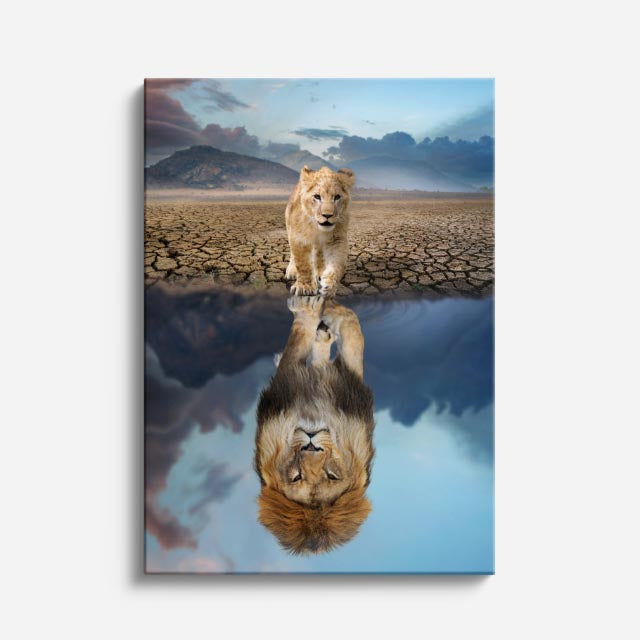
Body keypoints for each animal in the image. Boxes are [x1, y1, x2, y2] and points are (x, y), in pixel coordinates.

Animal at [254, 296, 374, 554]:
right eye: (296, 477)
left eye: (331, 475)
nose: (311, 444)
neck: (314, 411)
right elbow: (350, 331)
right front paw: (317, 311)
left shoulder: (347, 387)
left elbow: (350, 332)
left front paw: (318, 311)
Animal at [284, 165, 355, 297]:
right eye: (317, 196)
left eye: (337, 197)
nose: (327, 215)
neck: (317, 228)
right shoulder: (298, 237)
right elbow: (302, 263)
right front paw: (304, 287)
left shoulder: (337, 239)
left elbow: (337, 264)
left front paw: (329, 285)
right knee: (293, 254)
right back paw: (292, 271)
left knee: (319, 254)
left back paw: (320, 272)